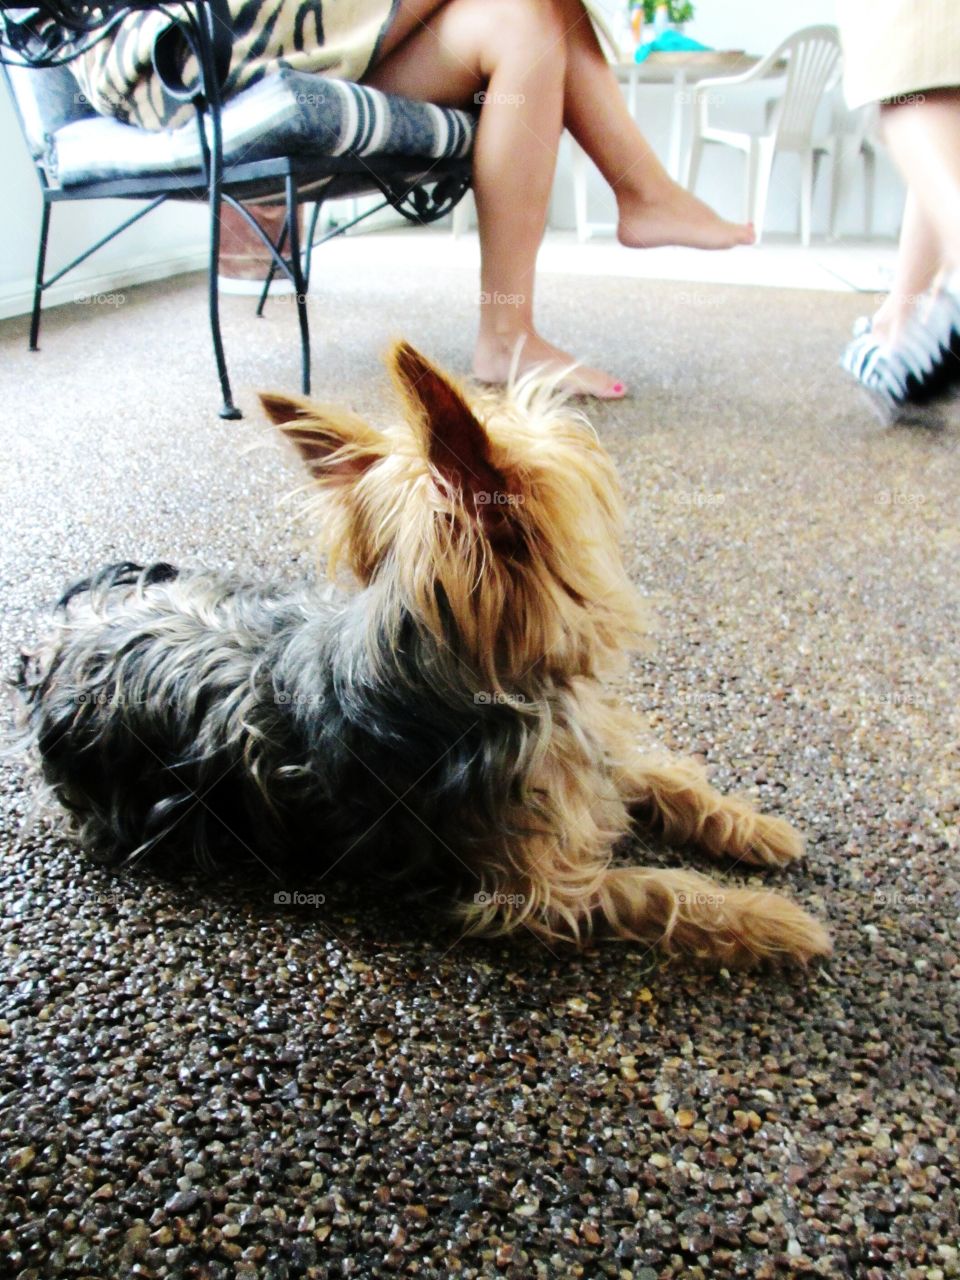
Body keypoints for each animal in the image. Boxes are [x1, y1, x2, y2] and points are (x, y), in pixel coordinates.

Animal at [13, 345, 834, 962]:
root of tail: (71, 633)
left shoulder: (586, 751)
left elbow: (665, 776)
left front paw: (756, 828)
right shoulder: (540, 890)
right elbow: (655, 890)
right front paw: (771, 919)